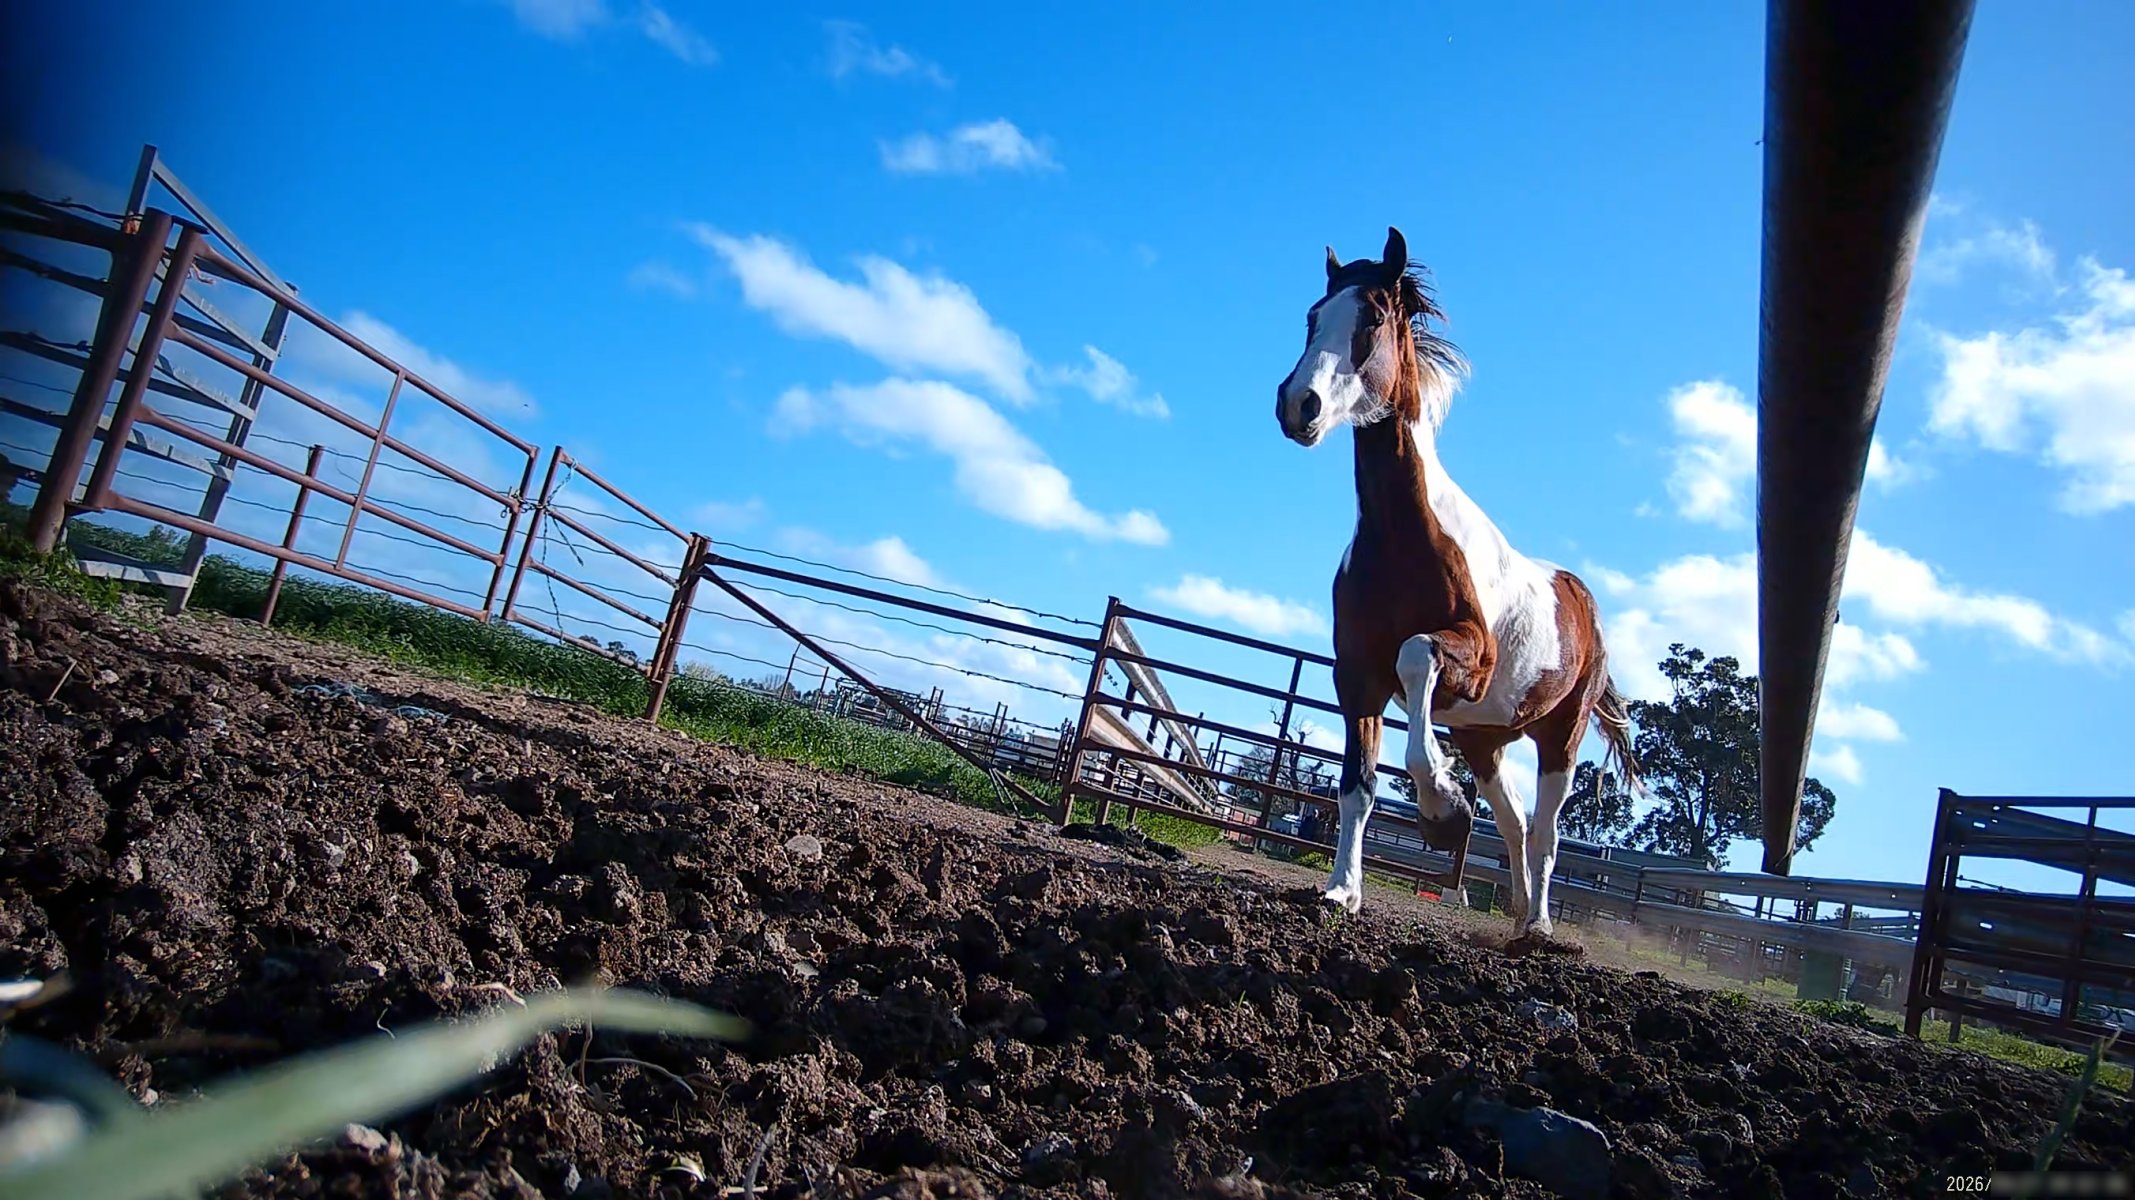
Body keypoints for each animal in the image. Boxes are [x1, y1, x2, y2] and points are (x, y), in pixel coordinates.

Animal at [1273, 225, 1640, 937]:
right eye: (1311, 317)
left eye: (1373, 317)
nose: (1298, 404)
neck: (1403, 536)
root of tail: (1585, 606)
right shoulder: (1356, 674)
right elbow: (1356, 786)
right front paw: (1341, 891)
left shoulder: (1464, 655)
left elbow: (1416, 659)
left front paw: (1443, 811)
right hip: (1485, 737)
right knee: (1516, 820)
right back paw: (1520, 912)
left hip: (1561, 735)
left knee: (1546, 829)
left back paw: (1539, 929)